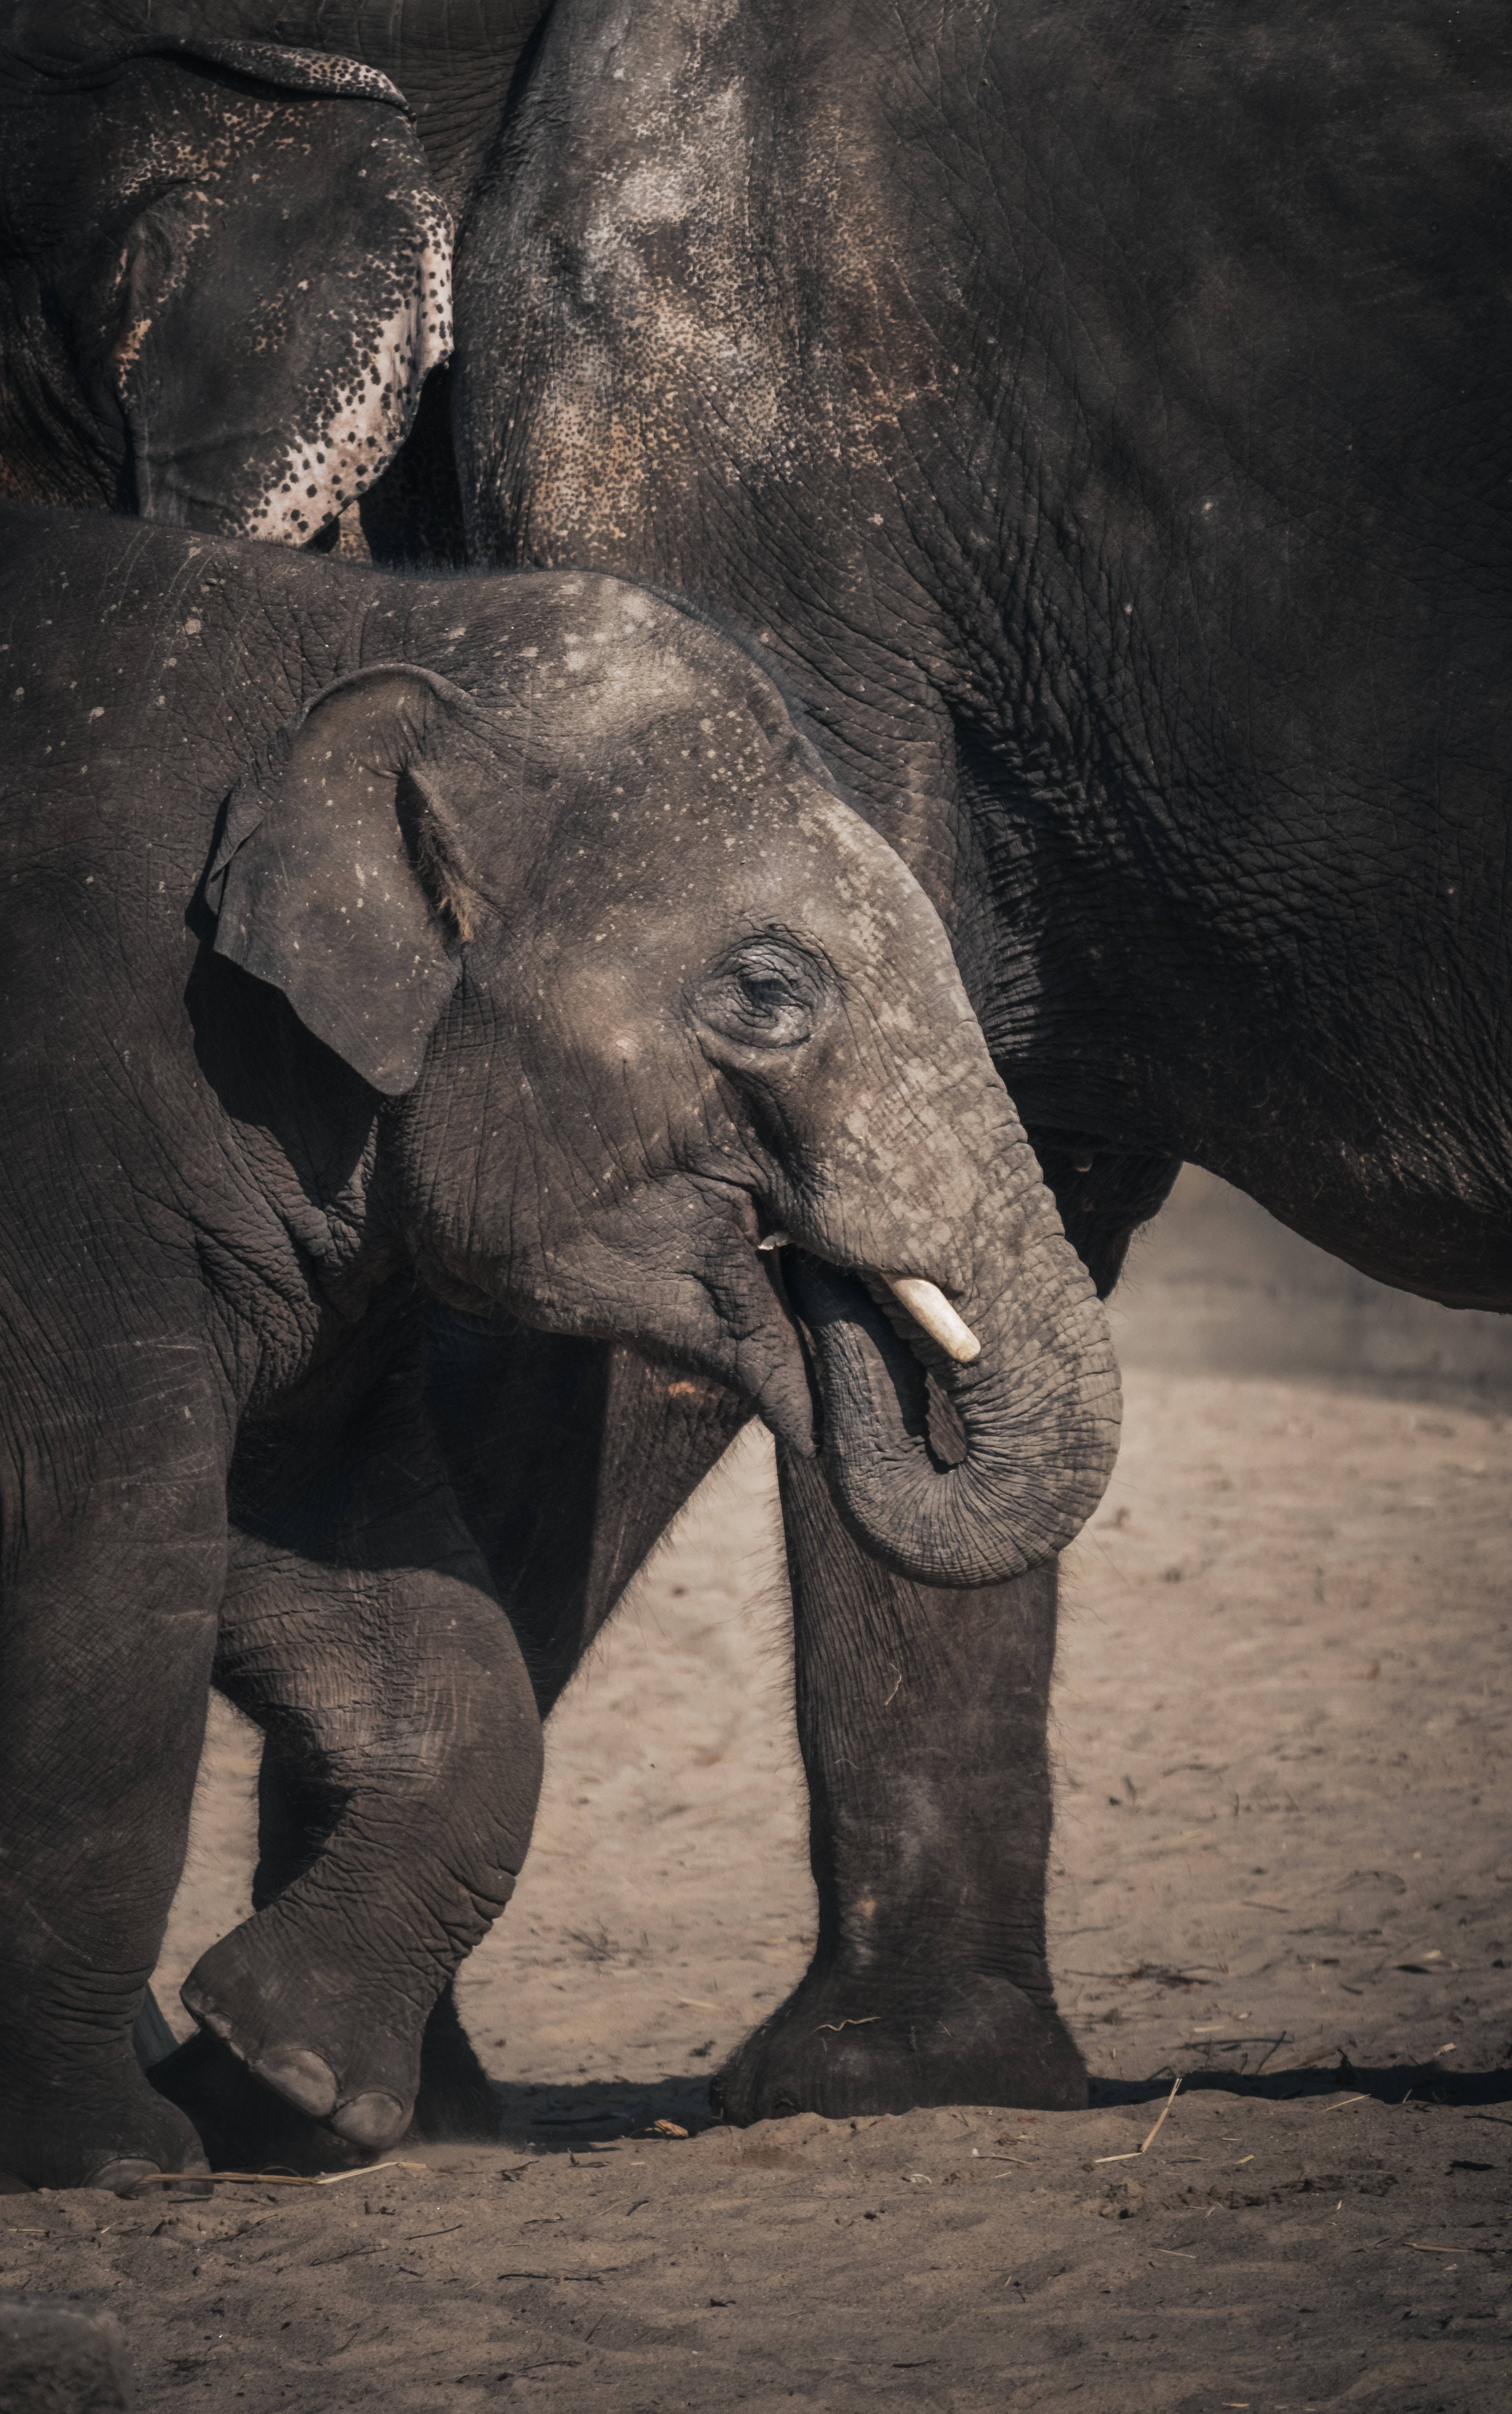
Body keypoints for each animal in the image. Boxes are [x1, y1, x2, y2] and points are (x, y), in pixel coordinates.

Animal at [0, 500, 1117, 2192]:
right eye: (769, 991)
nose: (825, 1278)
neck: (374, 629)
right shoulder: (75, 1159)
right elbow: (115, 1583)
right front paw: (105, 2156)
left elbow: (369, 1585)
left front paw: (291, 2072)